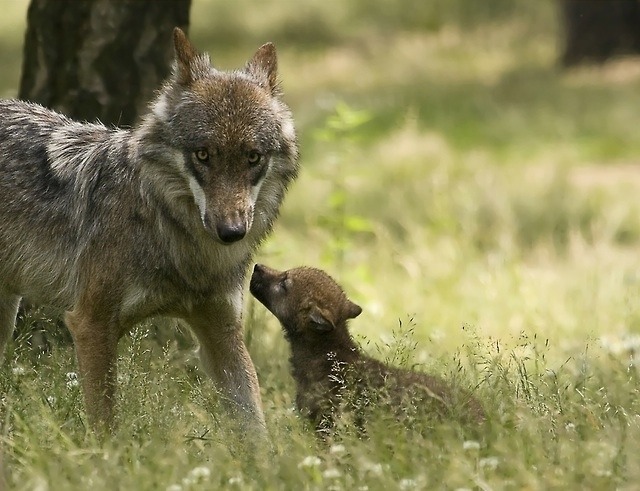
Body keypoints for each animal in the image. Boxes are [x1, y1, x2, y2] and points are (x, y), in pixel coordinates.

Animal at [0, 27, 298, 434]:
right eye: (202, 154)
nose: (231, 232)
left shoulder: (222, 330)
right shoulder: (91, 324)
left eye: (253, 157)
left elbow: (254, 426)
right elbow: (105, 427)